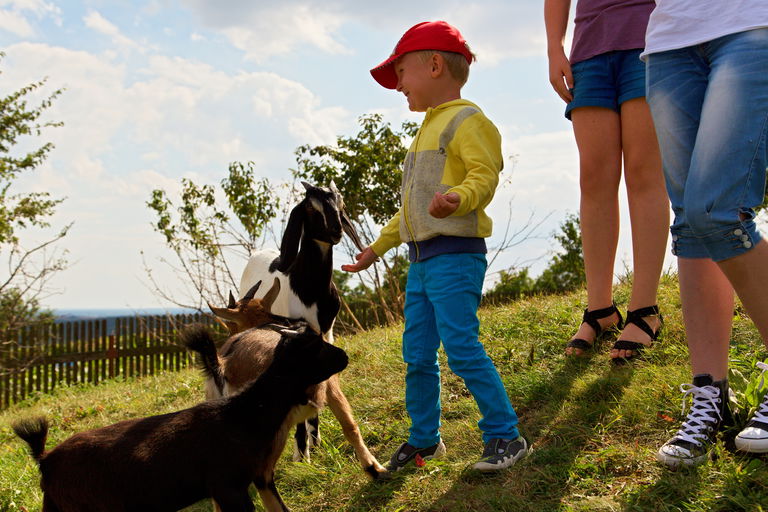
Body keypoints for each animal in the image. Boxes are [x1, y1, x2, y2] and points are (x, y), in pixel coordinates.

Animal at [12, 324, 346, 512]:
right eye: (318, 347)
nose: (344, 356)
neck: (245, 413)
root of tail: (45, 459)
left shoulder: (261, 477)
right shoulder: (227, 485)